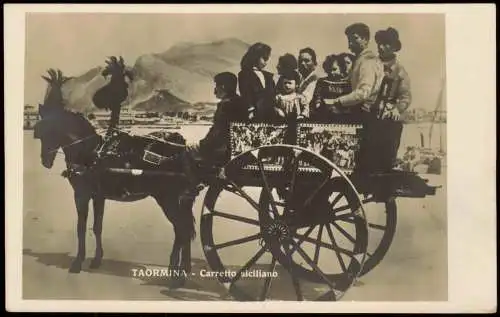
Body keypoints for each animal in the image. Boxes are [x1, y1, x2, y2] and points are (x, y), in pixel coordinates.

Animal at [33, 65, 196, 288]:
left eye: (48, 129)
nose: (45, 161)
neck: (90, 152)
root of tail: (180, 146)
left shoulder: (82, 195)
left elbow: (81, 227)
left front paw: (77, 262)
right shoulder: (98, 196)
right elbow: (97, 226)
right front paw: (96, 259)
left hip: (168, 199)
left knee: (181, 229)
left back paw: (175, 273)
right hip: (180, 199)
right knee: (185, 229)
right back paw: (184, 269)